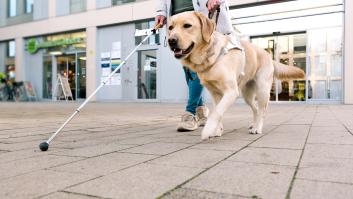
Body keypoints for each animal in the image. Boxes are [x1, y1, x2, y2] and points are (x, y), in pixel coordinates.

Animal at [166, 11, 304, 140]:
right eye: (170, 28)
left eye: (187, 25)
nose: (171, 40)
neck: (211, 57)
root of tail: (269, 55)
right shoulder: (215, 93)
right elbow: (218, 111)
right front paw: (217, 130)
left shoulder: (231, 91)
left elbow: (216, 112)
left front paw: (208, 130)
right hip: (247, 95)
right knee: (255, 109)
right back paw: (253, 125)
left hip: (262, 90)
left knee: (262, 110)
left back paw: (257, 128)